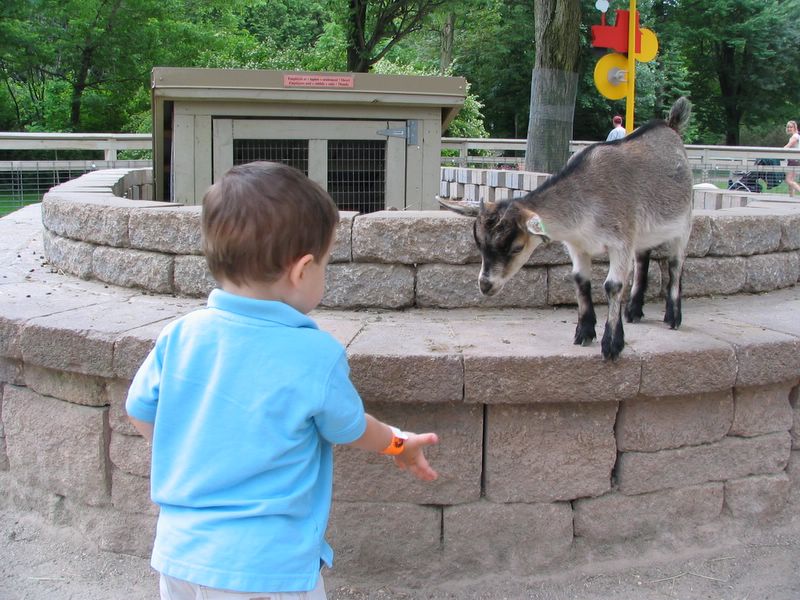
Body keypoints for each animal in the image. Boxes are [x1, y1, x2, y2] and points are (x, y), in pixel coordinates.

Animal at [439, 96, 693, 360]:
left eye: (517, 248)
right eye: (479, 245)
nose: (485, 285)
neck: (588, 202)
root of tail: (671, 125)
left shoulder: (620, 241)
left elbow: (613, 285)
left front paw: (612, 344)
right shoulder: (577, 245)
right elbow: (580, 279)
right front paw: (584, 333)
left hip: (683, 222)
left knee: (676, 264)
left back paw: (673, 316)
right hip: (644, 232)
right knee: (643, 258)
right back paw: (633, 311)